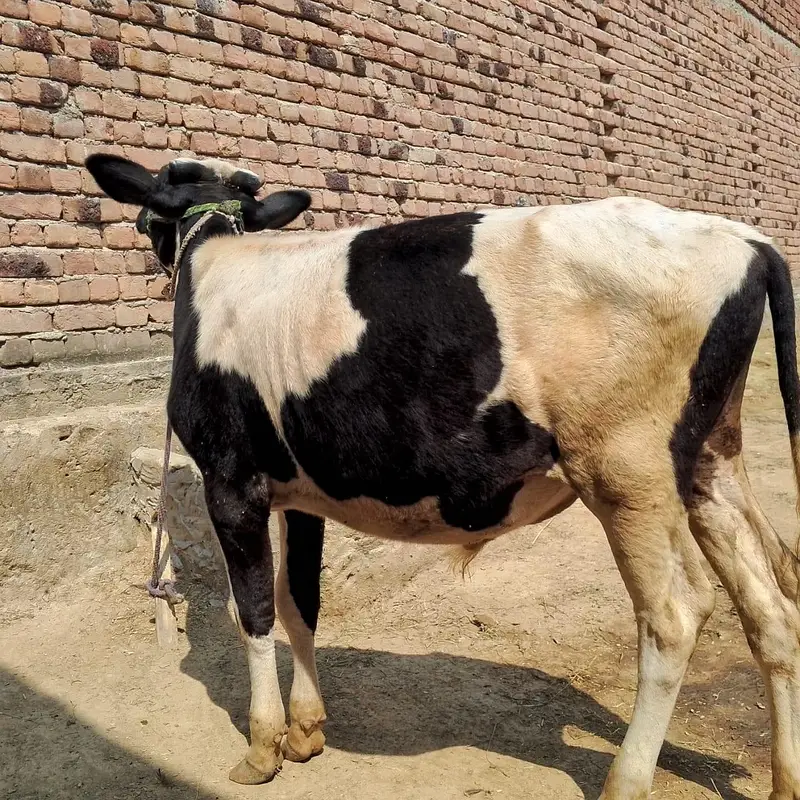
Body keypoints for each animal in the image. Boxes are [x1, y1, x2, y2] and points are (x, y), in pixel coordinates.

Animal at [85, 152, 800, 800]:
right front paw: (307, 730)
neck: (217, 259)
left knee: (675, 616)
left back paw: (624, 784)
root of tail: (746, 240)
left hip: (627, 471)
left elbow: (254, 610)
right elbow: (300, 603)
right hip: (707, 462)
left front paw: (262, 749)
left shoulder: (231, 480)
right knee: (770, 605)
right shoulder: (303, 493)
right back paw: (782, 782)